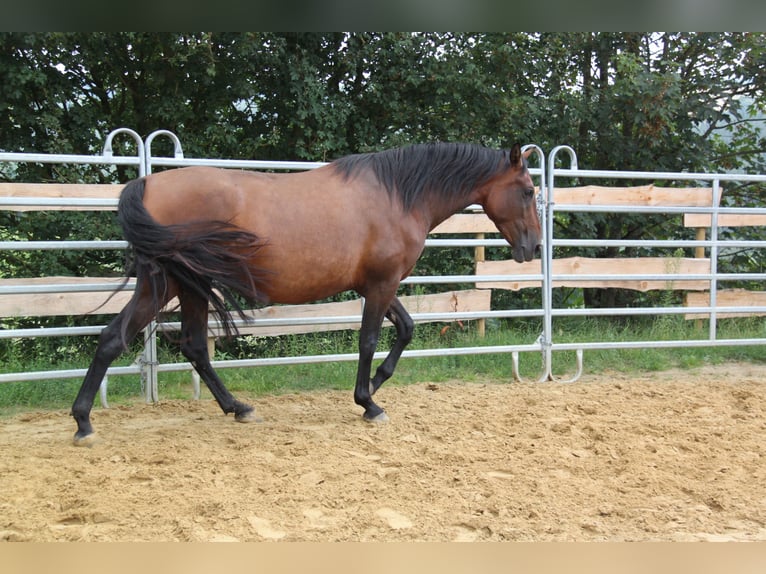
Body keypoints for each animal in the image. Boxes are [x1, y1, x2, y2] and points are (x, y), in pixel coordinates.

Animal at [70, 143, 540, 446]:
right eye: (529, 190)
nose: (534, 247)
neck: (397, 194)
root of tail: (147, 184)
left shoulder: (376, 285)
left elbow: (405, 329)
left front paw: (376, 384)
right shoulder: (382, 284)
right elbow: (369, 340)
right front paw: (368, 402)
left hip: (186, 286)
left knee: (177, 344)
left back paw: (235, 408)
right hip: (168, 283)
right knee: (124, 339)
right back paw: (84, 423)